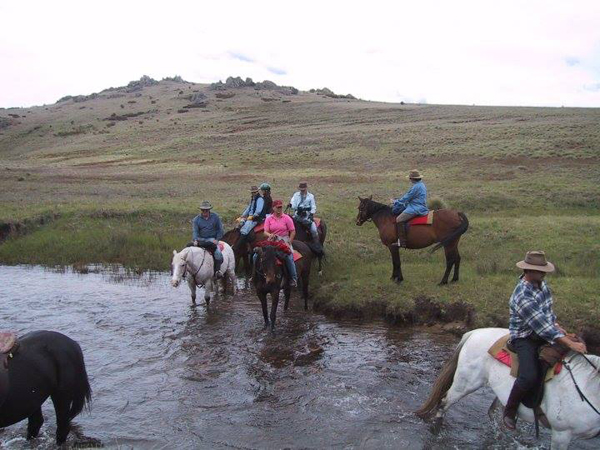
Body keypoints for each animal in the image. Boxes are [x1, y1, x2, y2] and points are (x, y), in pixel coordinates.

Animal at [418, 326, 600, 450]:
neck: (585, 387)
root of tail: (474, 333)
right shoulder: (561, 434)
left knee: (493, 412)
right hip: (466, 383)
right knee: (444, 403)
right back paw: (437, 431)